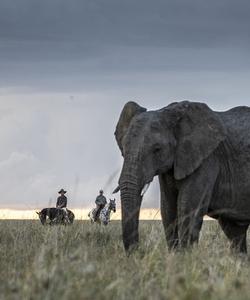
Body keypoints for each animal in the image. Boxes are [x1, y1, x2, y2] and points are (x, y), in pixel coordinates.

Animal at [114, 101, 250, 253]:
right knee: (234, 231)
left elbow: (188, 209)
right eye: (124, 149)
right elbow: (168, 208)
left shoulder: (206, 159)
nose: (139, 252)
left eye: (157, 149)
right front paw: (175, 255)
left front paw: (186, 256)